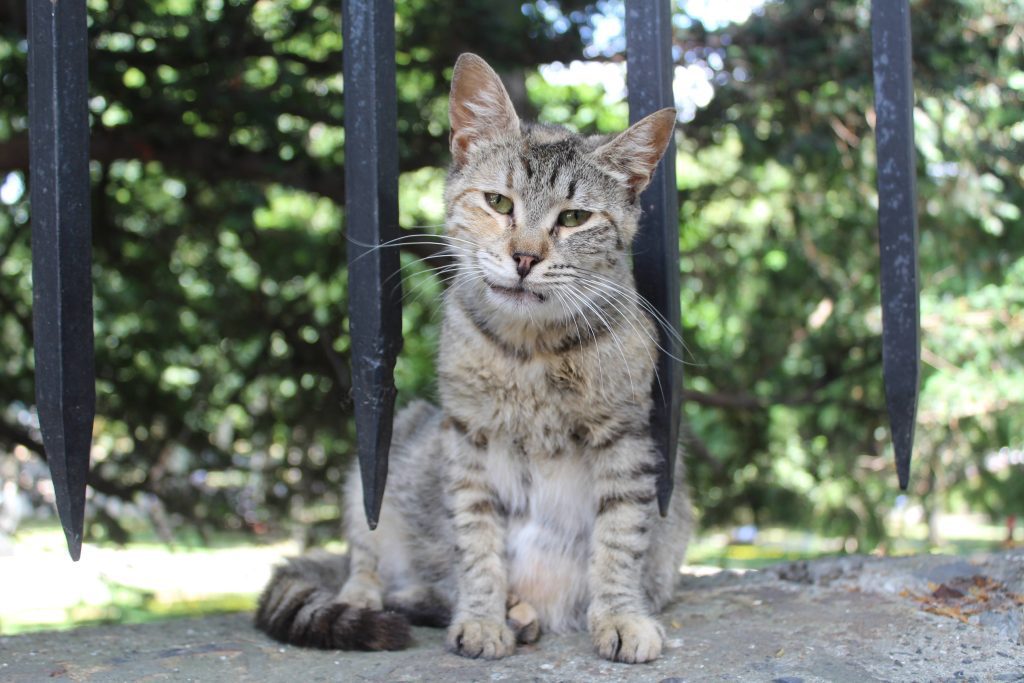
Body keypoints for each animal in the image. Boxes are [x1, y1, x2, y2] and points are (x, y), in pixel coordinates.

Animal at [251, 54, 692, 667]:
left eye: (574, 218)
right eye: (499, 203)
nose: (525, 257)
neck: (532, 350)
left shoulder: (627, 437)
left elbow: (619, 539)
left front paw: (621, 615)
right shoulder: (467, 438)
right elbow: (477, 544)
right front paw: (482, 617)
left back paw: (522, 613)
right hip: (389, 456)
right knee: (365, 561)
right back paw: (383, 600)